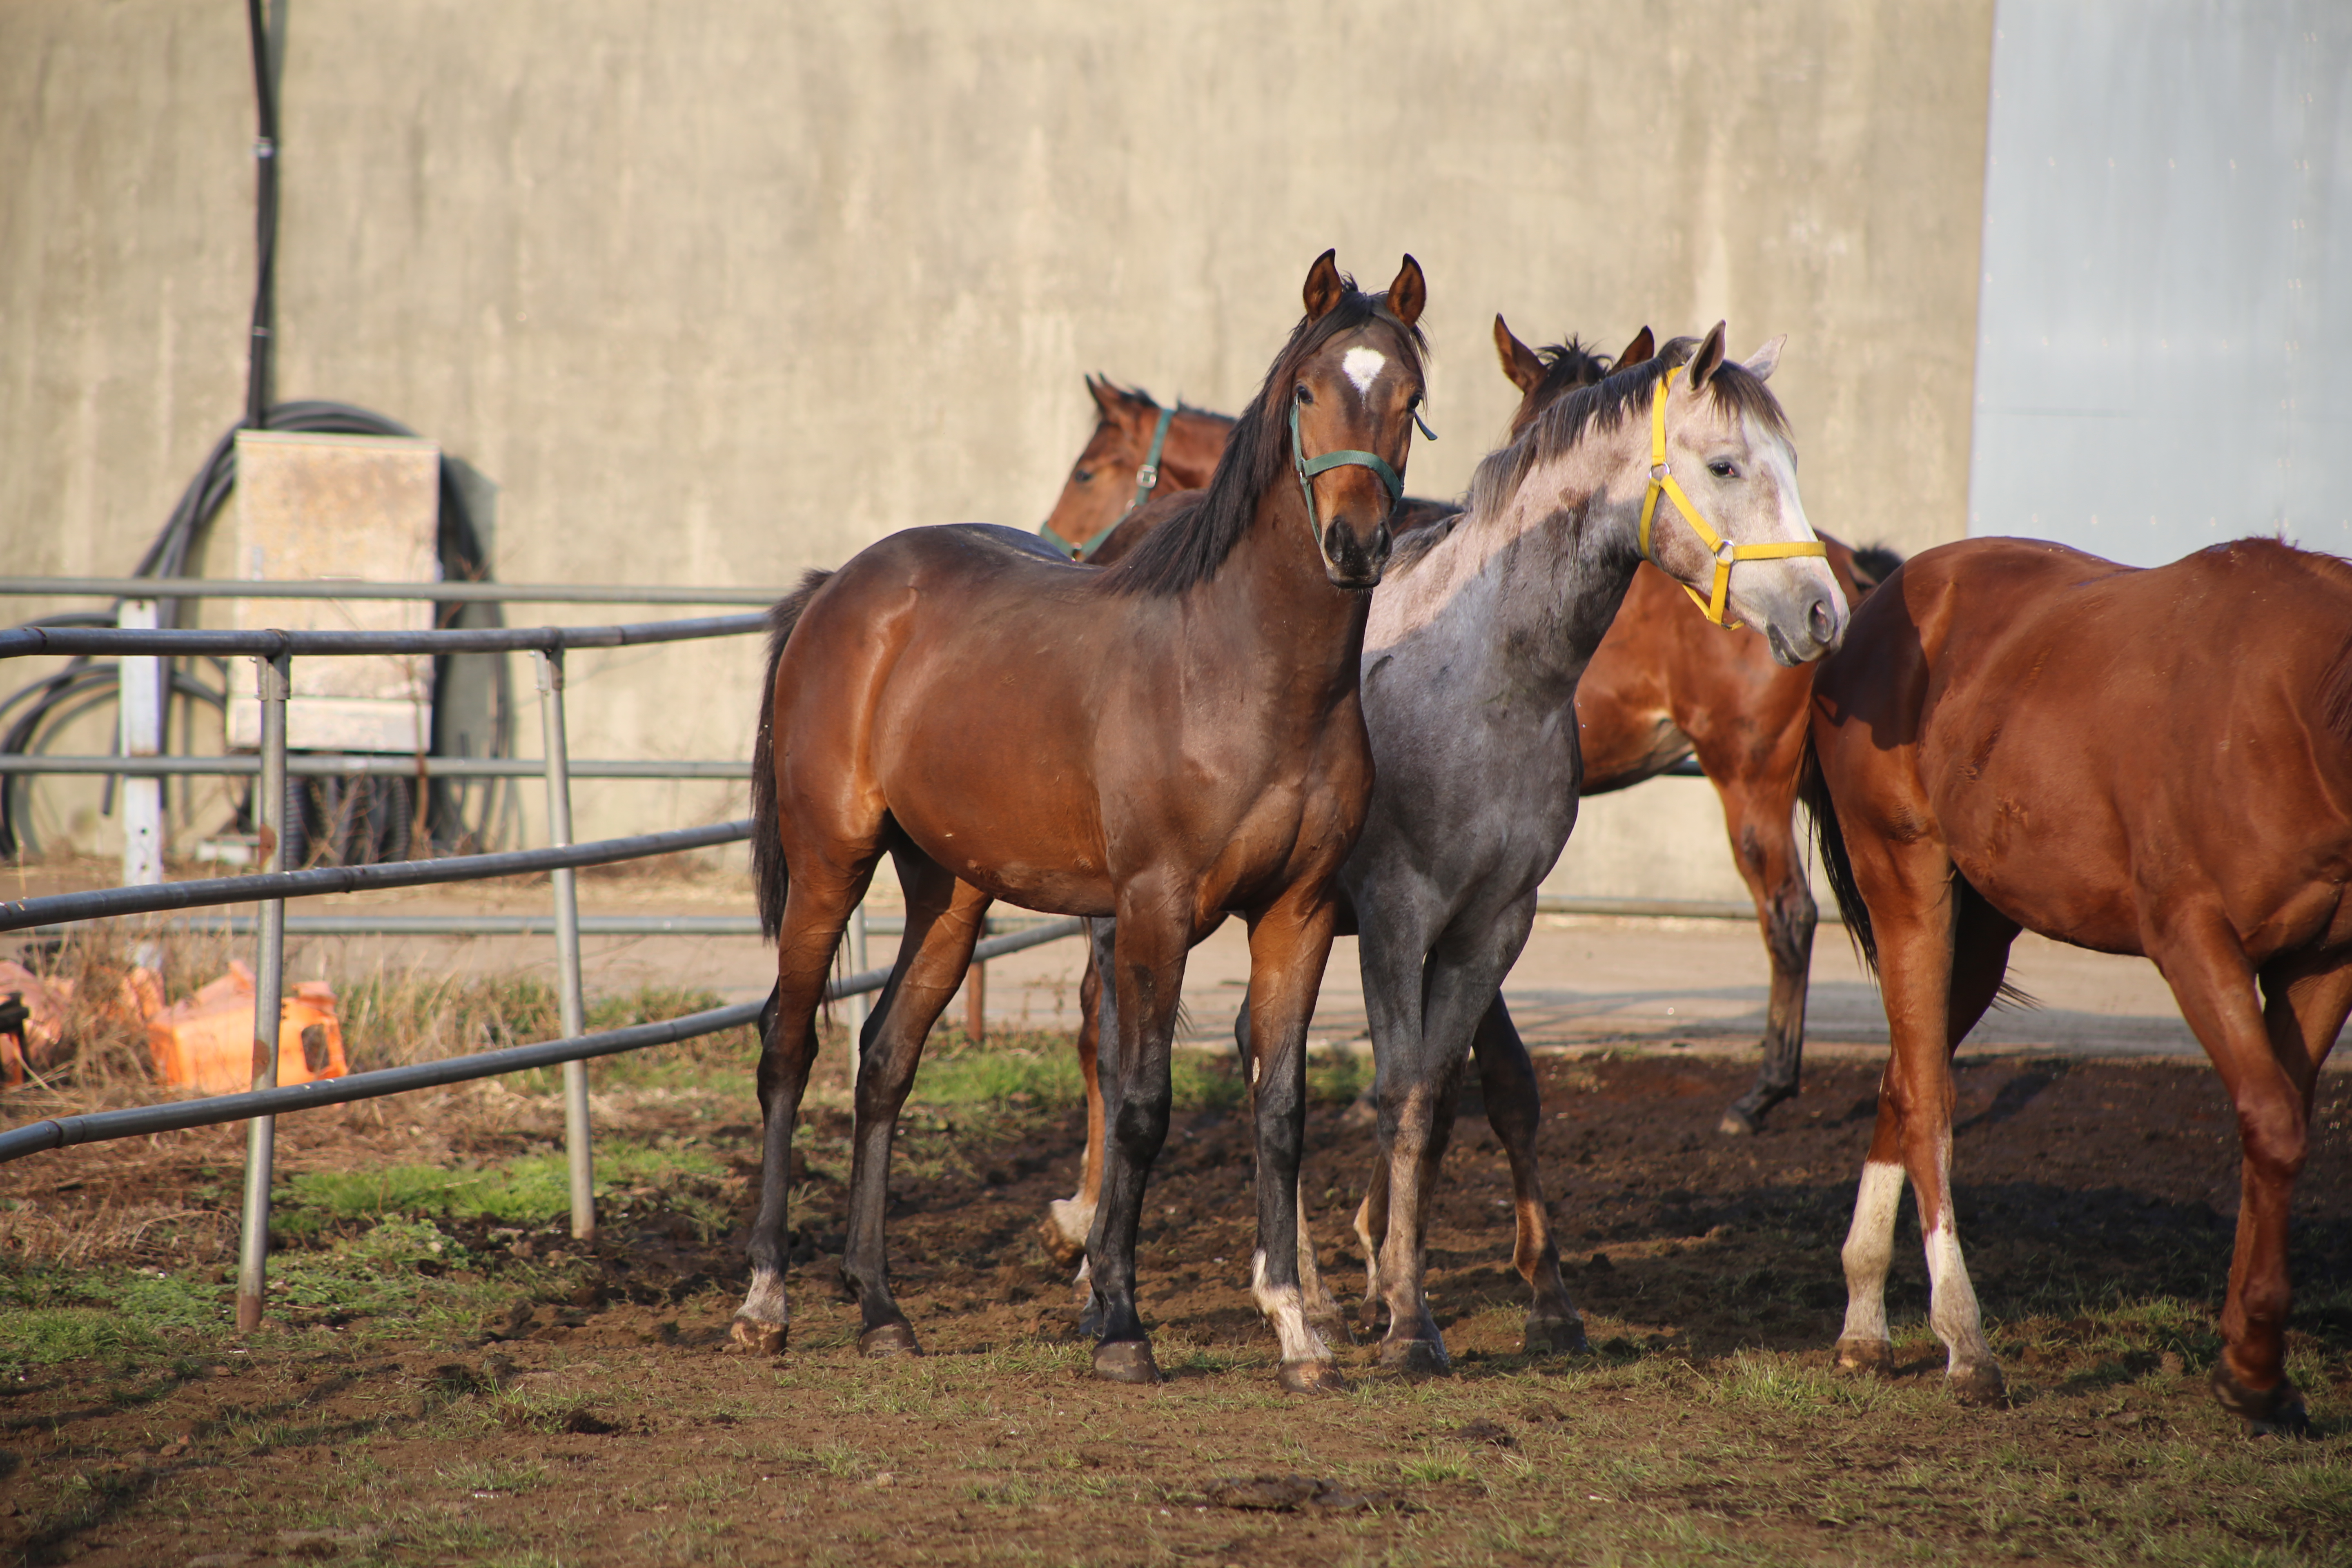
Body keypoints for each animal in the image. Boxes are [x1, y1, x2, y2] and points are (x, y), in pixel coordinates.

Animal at [734, 255, 1430, 1401]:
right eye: (1305, 393)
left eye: (1409, 399)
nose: (1356, 542)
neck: (1245, 673)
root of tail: (841, 587)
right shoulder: (1153, 911)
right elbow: (1140, 1101)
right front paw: (1119, 1326)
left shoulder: (1296, 914)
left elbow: (1278, 1109)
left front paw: (1297, 1329)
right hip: (829, 861)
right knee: (788, 1048)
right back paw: (764, 1303)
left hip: (949, 896)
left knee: (885, 1060)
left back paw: (882, 1310)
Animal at [1797, 541, 2352, 1439]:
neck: (2297, 705)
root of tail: (1873, 607)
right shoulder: (2192, 938)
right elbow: (2271, 1120)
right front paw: (2256, 1369)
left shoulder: (2323, 965)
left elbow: (2279, 1129)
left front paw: (2249, 1359)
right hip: (1908, 884)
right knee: (1930, 1097)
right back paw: (1967, 1348)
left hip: (1980, 933)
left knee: (1903, 1081)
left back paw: (1864, 1326)